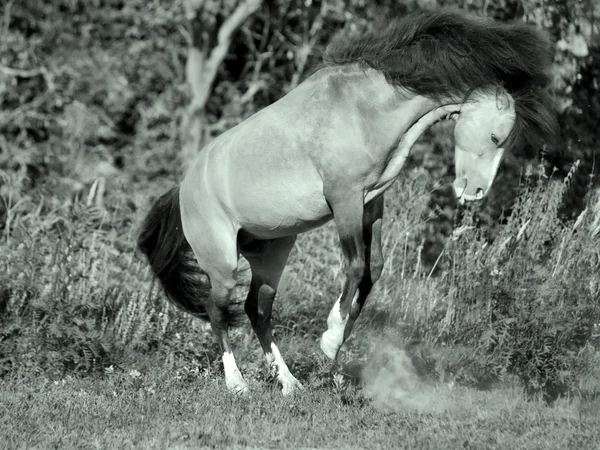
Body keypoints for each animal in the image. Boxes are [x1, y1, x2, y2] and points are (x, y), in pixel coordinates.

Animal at [137, 7, 556, 394]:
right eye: (496, 137)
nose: (476, 192)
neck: (365, 108)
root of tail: (183, 189)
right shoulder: (345, 201)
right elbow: (355, 267)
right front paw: (330, 339)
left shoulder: (372, 203)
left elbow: (375, 269)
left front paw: (335, 345)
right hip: (222, 263)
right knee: (217, 310)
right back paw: (237, 384)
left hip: (272, 253)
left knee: (258, 309)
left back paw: (289, 383)